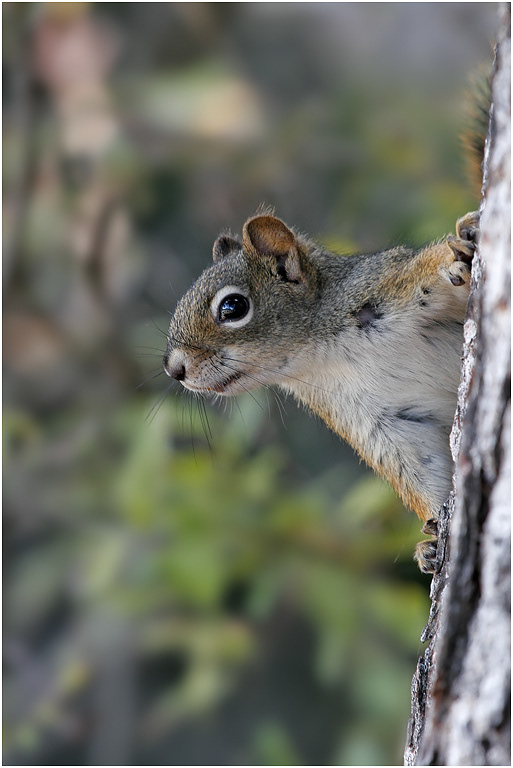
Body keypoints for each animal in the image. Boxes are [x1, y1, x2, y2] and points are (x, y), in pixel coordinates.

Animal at [163, 209, 479, 573]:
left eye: (233, 306)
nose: (174, 370)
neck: (325, 352)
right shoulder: (375, 417)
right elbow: (417, 465)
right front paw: (433, 537)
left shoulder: (388, 284)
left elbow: (429, 266)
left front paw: (460, 247)